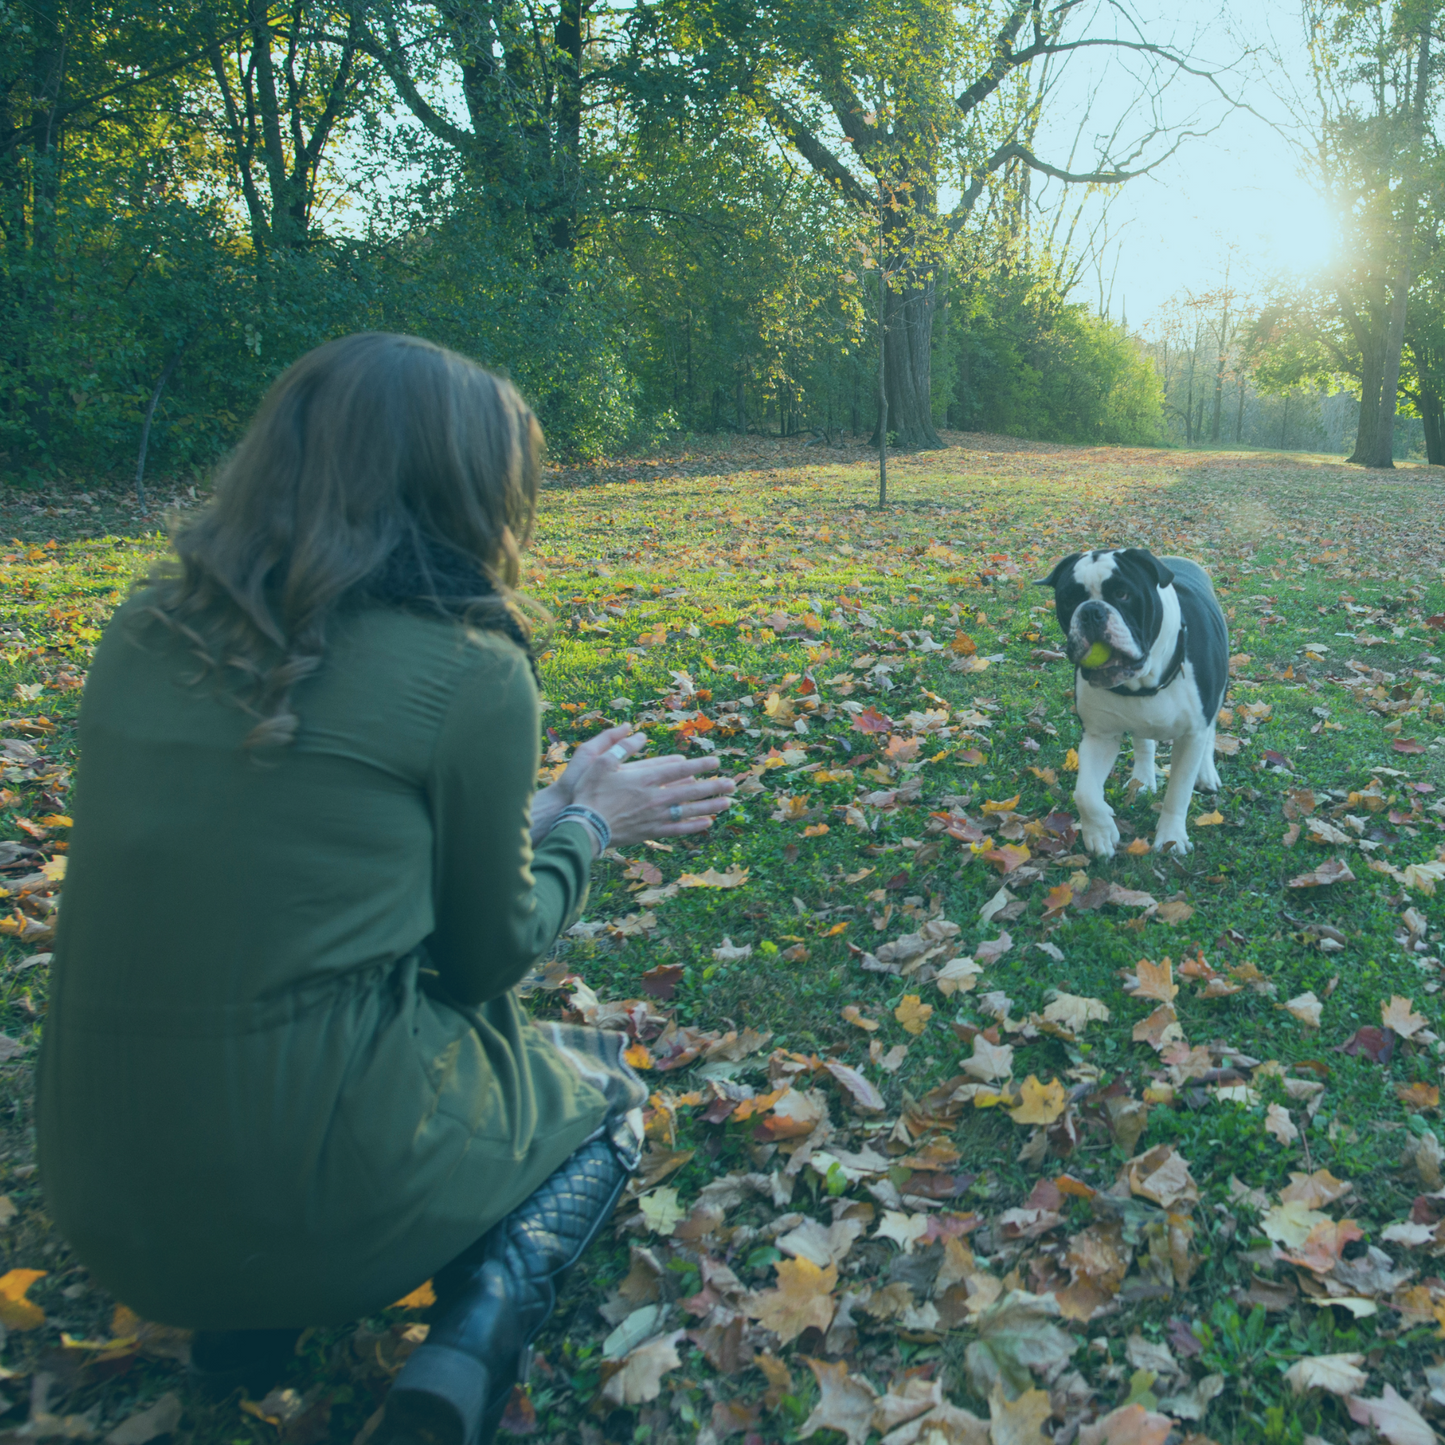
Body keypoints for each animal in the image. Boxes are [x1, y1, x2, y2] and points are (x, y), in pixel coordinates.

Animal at [1040, 546, 1231, 849]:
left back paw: (1206, 773)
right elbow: (1085, 793)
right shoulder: (1100, 736)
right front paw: (1099, 832)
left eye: (1122, 594)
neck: (1143, 681)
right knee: (1144, 743)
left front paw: (1171, 837)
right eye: (1069, 599)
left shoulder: (1191, 736)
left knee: (1210, 733)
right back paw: (1142, 780)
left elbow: (1179, 791)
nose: (1091, 611)